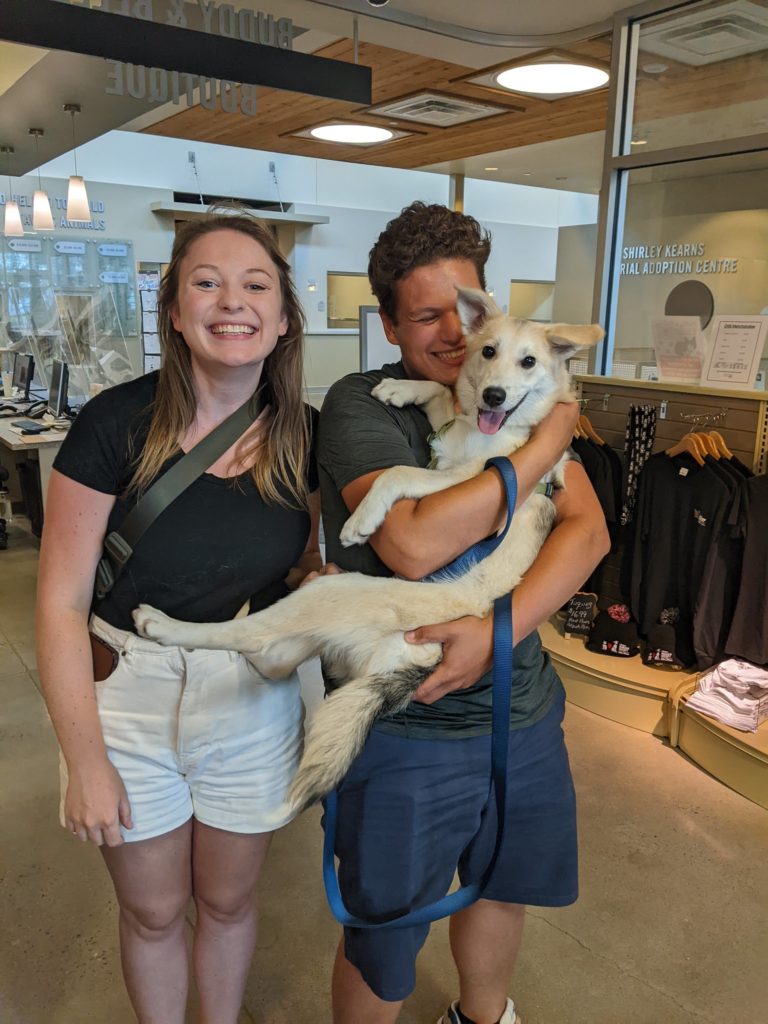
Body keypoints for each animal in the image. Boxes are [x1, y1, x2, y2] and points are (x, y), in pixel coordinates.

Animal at [137, 288, 606, 815]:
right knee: (272, 656)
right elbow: (441, 393)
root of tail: (411, 666)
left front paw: (362, 521)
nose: (494, 396)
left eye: (529, 362)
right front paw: (402, 390)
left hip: (334, 595)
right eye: (488, 351)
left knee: (249, 637)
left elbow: (398, 473)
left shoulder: (472, 475)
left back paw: (163, 624)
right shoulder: (450, 446)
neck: (491, 431)